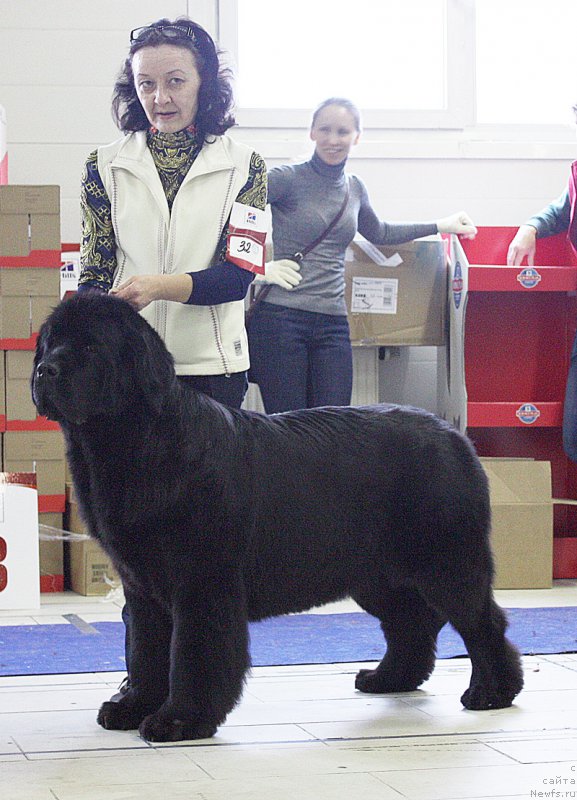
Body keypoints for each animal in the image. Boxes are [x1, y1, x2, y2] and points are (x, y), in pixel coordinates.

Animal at [32, 294, 520, 744]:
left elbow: (193, 654)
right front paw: (133, 706)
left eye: (91, 347)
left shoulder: (202, 582)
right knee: (411, 623)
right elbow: (145, 651)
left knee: (483, 623)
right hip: (375, 575)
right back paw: (388, 680)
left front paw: (180, 720)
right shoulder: (143, 586)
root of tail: (453, 435)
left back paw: (492, 692)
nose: (44, 372)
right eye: (51, 343)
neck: (133, 442)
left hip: (448, 563)